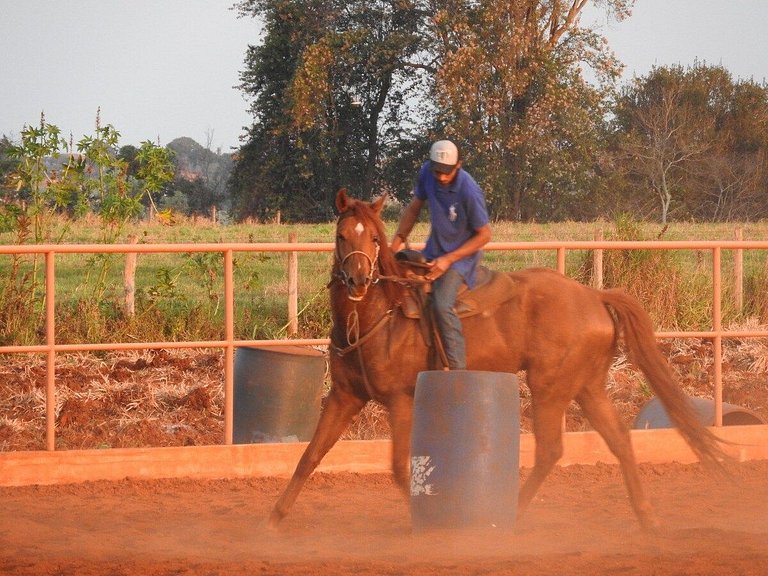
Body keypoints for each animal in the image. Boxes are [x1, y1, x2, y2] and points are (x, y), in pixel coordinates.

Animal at [268, 188, 728, 532]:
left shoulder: (400, 401)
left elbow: (400, 468)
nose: (360, 279)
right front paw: (273, 519)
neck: (376, 315)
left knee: (550, 451)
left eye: (375, 239)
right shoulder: (345, 397)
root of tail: (594, 296)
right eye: (343, 235)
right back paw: (646, 517)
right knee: (618, 440)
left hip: (549, 387)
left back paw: (511, 516)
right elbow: (310, 457)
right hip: (587, 387)